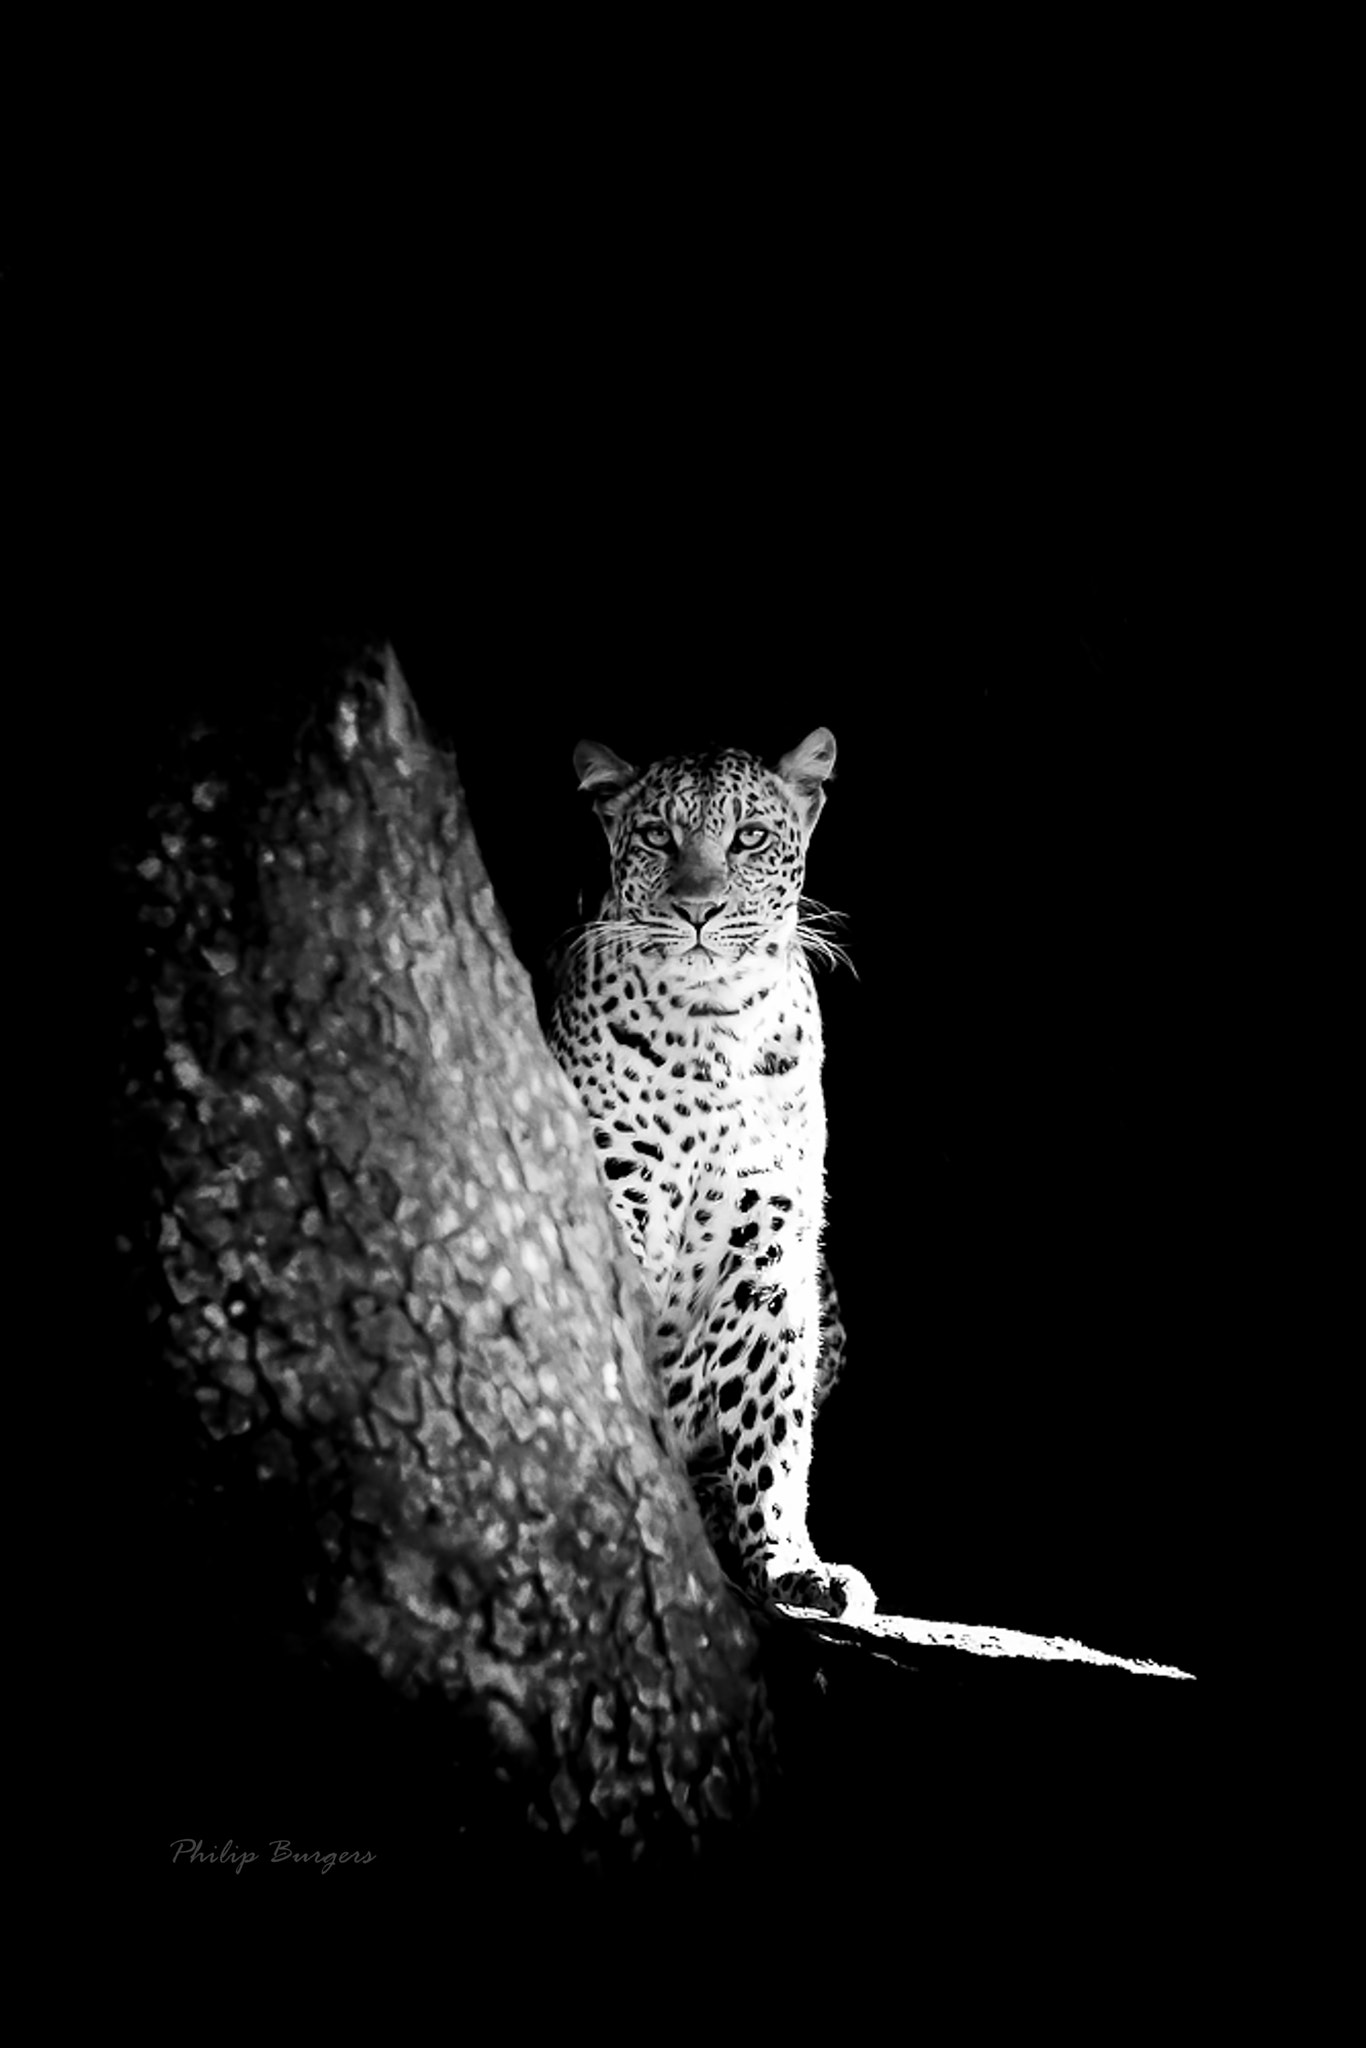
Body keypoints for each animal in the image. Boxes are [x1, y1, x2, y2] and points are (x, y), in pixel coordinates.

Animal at [549, 727, 875, 1618]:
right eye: (657, 836)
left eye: (749, 838)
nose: (699, 910)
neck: (712, 1032)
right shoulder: (617, 1202)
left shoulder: (772, 1247)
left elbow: (774, 1421)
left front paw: (788, 1559)